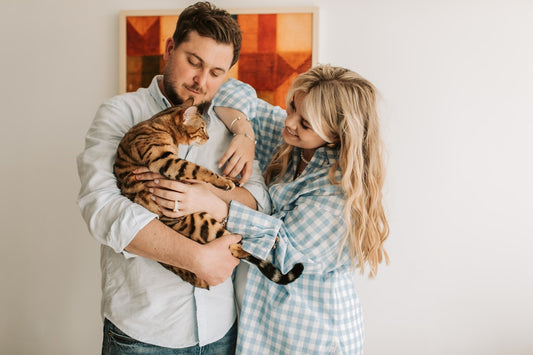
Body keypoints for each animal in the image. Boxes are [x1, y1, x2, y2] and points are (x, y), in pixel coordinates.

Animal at [113, 99, 304, 290]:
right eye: (202, 128)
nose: (208, 138)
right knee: (234, 248)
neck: (161, 125)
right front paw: (224, 182)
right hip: (202, 223)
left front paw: (230, 179)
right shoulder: (165, 161)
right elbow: (199, 169)